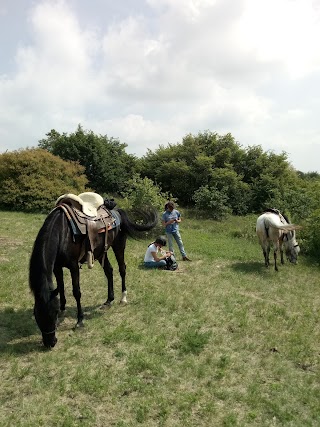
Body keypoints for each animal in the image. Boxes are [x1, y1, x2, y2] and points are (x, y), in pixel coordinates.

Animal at [29, 206, 157, 350]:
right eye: (36, 315)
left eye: (53, 314)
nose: (50, 343)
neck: (62, 232)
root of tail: (117, 211)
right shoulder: (57, 266)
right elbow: (61, 287)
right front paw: (63, 309)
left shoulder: (73, 266)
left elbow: (76, 292)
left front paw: (79, 321)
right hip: (101, 252)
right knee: (109, 271)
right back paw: (108, 301)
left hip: (118, 245)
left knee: (122, 269)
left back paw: (123, 298)